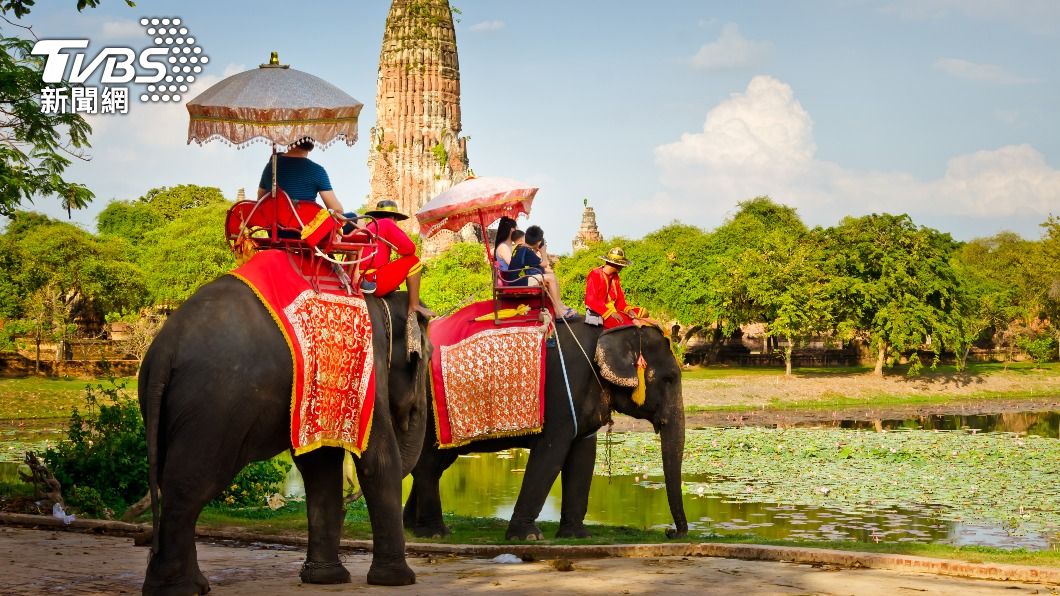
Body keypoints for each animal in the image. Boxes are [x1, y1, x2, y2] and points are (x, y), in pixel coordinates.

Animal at [138, 276, 429, 595]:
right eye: (426, 358)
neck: (382, 300)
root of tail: (164, 352)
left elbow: (320, 463)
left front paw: (325, 579)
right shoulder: (366, 365)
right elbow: (378, 459)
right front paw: (398, 581)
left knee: (171, 480)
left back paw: (186, 586)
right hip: (212, 409)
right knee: (191, 484)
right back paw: (180, 589)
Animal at [404, 322, 687, 541]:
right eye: (669, 379)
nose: (670, 532)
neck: (608, 329)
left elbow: (583, 457)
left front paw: (577, 536)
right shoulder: (561, 395)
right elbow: (550, 454)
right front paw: (527, 537)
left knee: (436, 464)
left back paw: (413, 527)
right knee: (429, 465)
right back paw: (435, 533)